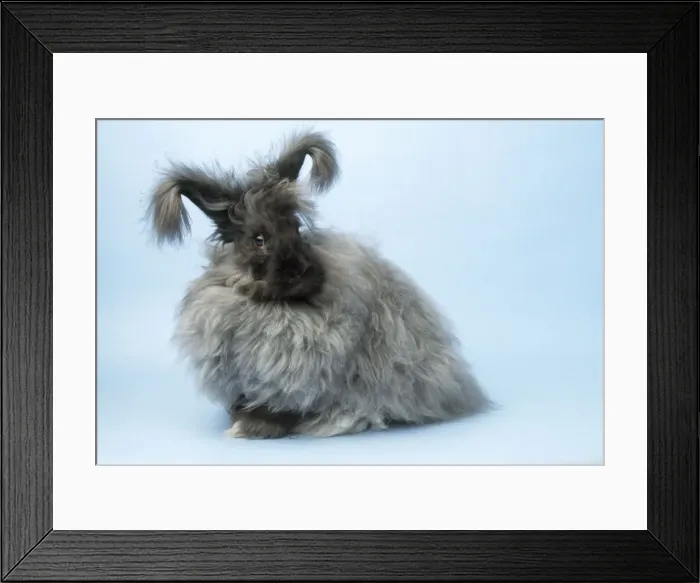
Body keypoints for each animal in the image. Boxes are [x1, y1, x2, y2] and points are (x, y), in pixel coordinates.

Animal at [145, 130, 493, 438]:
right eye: (258, 239)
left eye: (296, 228)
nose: (301, 271)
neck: (272, 306)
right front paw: (243, 423)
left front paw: (252, 429)